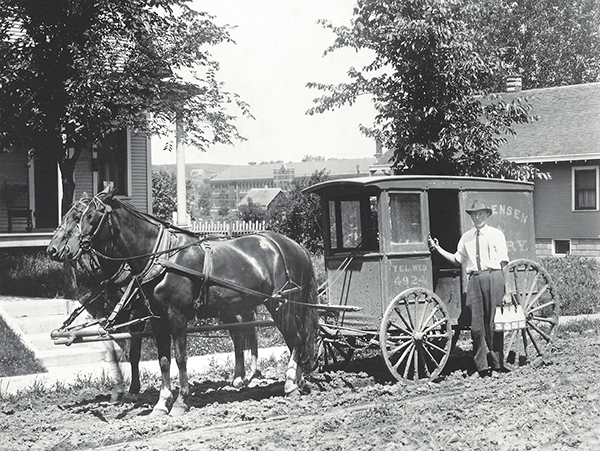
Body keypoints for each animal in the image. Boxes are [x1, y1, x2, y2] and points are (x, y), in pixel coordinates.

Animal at [48, 188, 318, 416]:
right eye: (72, 215)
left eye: (88, 216)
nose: (54, 249)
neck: (160, 257)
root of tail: (294, 246)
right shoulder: (157, 319)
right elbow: (162, 360)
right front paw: (160, 403)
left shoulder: (175, 316)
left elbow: (179, 358)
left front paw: (180, 401)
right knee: (263, 335)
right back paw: (286, 379)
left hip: (283, 303)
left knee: (296, 338)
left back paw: (289, 383)